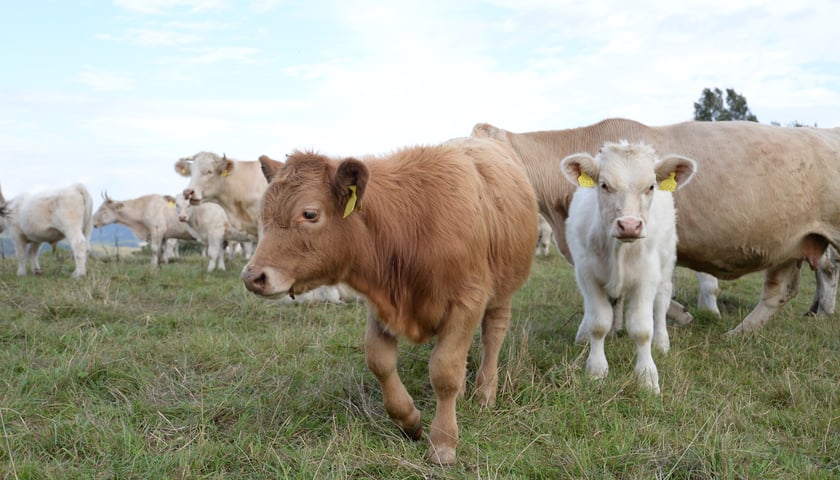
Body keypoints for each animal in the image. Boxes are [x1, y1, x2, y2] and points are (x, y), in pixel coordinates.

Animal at [240, 136, 540, 464]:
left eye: (309, 214)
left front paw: (443, 442)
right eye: (264, 214)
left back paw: (485, 391)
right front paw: (409, 420)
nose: (253, 276)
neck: (410, 227)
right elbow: (379, 361)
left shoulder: (467, 301)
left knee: (493, 335)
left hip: (503, 289)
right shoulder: (380, 304)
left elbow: (444, 370)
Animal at [564, 140, 696, 394]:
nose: (629, 225)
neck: (619, 250)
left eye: (651, 186)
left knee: (661, 302)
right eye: (604, 185)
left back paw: (662, 342)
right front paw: (597, 370)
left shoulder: (647, 277)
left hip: (666, 264)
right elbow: (599, 322)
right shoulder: (587, 274)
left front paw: (647, 377)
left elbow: (642, 329)